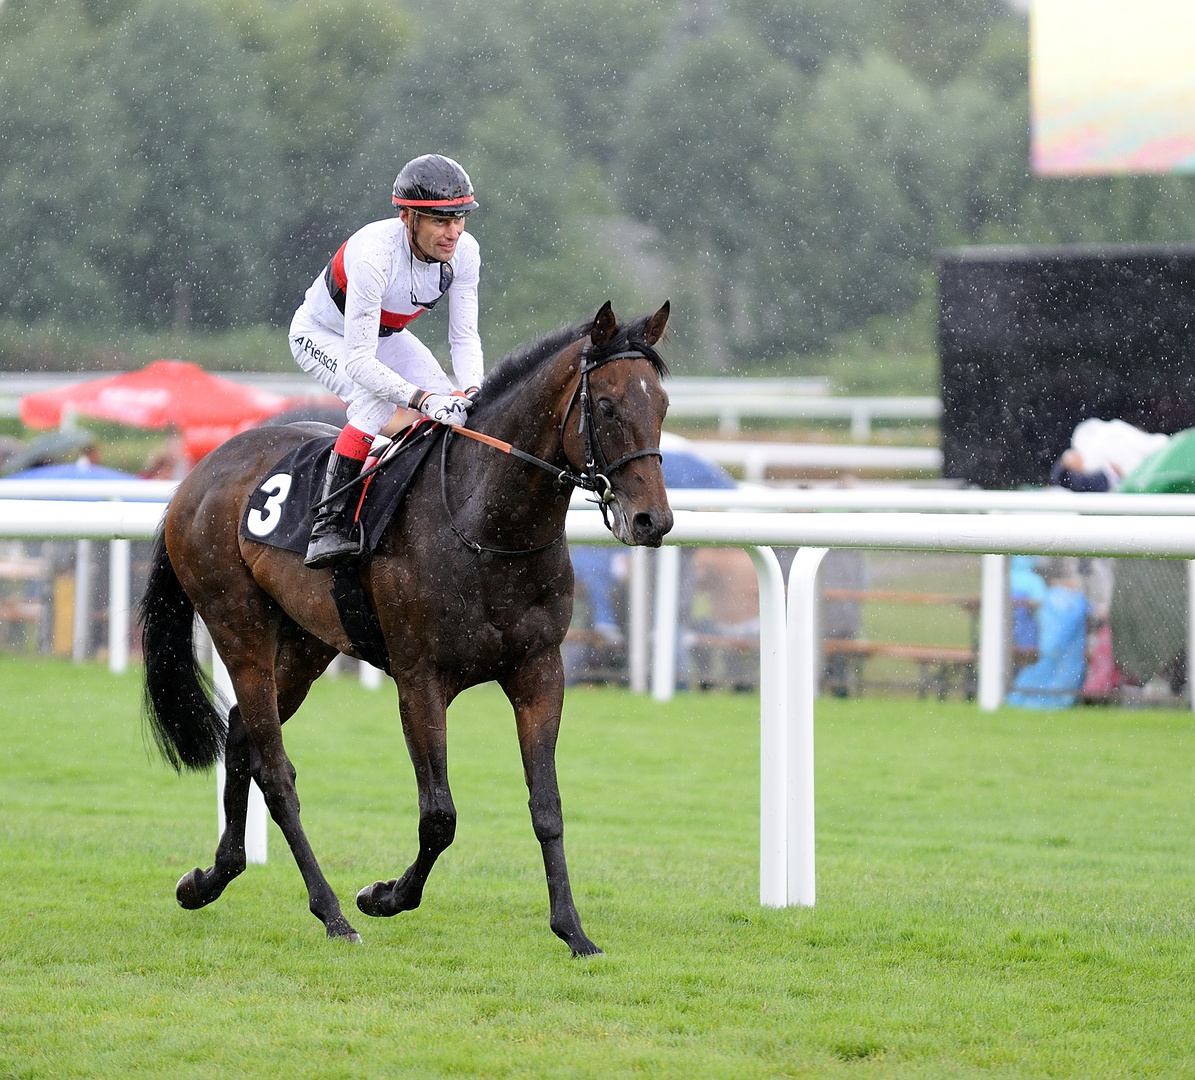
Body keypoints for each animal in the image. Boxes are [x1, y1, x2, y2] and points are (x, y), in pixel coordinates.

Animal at [139, 301, 673, 955]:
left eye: (662, 406)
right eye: (609, 407)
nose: (651, 520)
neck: (485, 524)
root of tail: (198, 474)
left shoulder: (539, 670)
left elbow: (547, 805)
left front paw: (573, 930)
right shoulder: (420, 680)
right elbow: (439, 816)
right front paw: (385, 896)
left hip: (307, 642)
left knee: (242, 733)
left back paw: (210, 879)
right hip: (238, 626)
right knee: (276, 770)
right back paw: (333, 914)